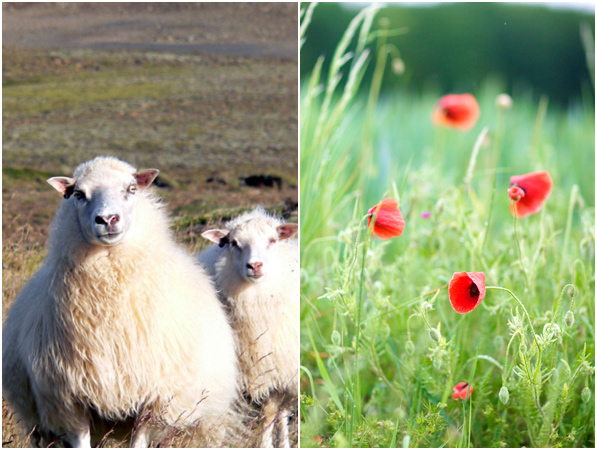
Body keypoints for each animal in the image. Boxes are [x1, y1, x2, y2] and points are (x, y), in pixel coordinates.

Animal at [2, 156, 240, 446]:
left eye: (131, 189)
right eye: (79, 194)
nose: (107, 219)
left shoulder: (152, 401)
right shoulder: (71, 403)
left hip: (200, 424)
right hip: (43, 429)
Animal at [198, 209, 298, 448]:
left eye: (272, 240)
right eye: (234, 243)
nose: (255, 266)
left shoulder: (274, 367)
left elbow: (269, 412)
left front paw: (265, 445)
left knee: (283, 411)